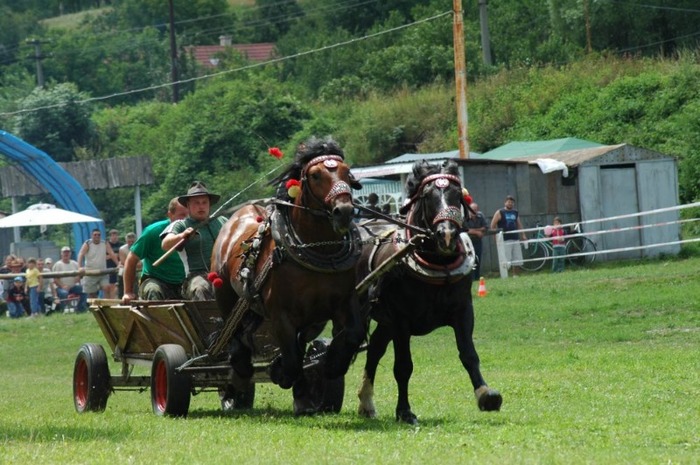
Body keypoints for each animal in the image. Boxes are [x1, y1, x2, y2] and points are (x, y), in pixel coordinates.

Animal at [212, 136, 366, 416]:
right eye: (315, 175)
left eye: (346, 171)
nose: (344, 211)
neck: (318, 249)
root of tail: (235, 218)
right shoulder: (281, 315)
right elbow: (293, 360)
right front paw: (282, 373)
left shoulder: (344, 302)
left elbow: (351, 334)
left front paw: (330, 366)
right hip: (226, 295)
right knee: (235, 333)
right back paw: (239, 371)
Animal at [356, 160, 504, 424]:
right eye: (428, 196)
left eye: (457, 194)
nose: (447, 234)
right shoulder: (401, 321)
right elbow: (403, 366)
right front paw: (404, 411)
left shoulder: (463, 311)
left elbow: (469, 354)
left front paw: (486, 394)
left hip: (384, 321)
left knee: (374, 350)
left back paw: (366, 402)